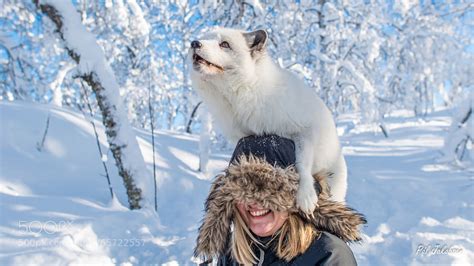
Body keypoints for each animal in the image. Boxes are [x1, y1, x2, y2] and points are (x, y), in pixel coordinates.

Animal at [189, 28, 348, 213]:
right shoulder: (242, 136)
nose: (194, 43)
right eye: (204, 38)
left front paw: (306, 196)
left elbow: (302, 165)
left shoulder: (305, 130)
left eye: (225, 44)